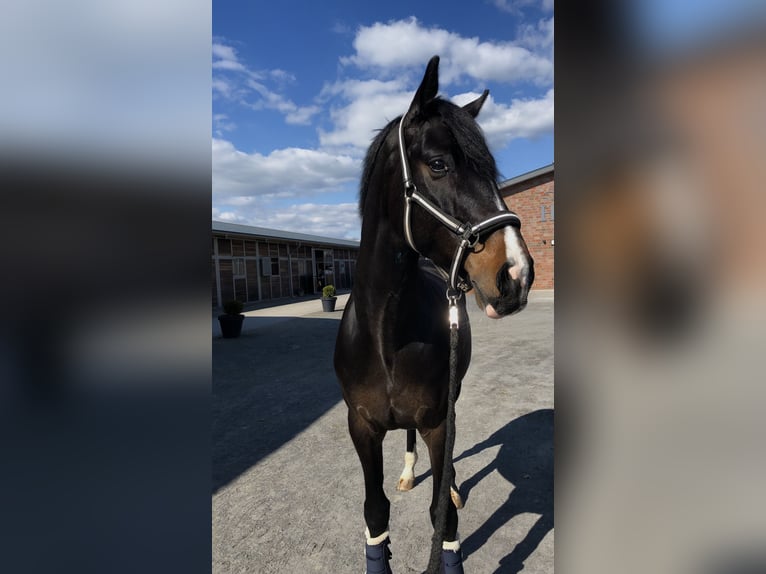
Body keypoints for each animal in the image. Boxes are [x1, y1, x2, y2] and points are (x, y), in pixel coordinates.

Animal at [336, 55, 536, 574]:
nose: (518, 273)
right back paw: (409, 472)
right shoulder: (360, 426)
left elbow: (442, 518)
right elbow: (375, 511)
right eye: (439, 164)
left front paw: (450, 495)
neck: (386, 334)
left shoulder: (438, 420)